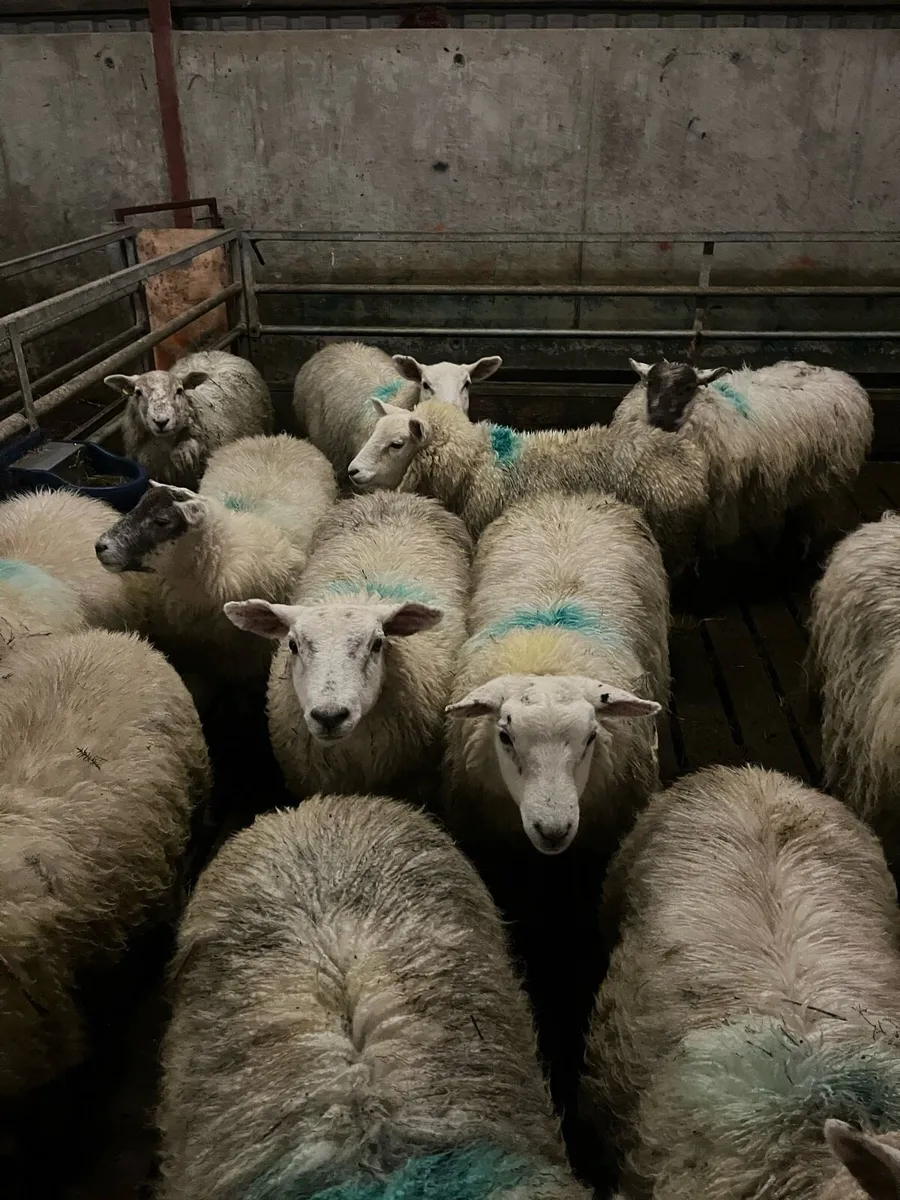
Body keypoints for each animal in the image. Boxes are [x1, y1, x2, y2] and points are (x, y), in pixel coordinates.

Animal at [612, 358, 872, 550]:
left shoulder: (715, 511)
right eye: (650, 384)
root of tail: (838, 374)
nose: (658, 419)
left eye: (688, 388)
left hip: (826, 484)